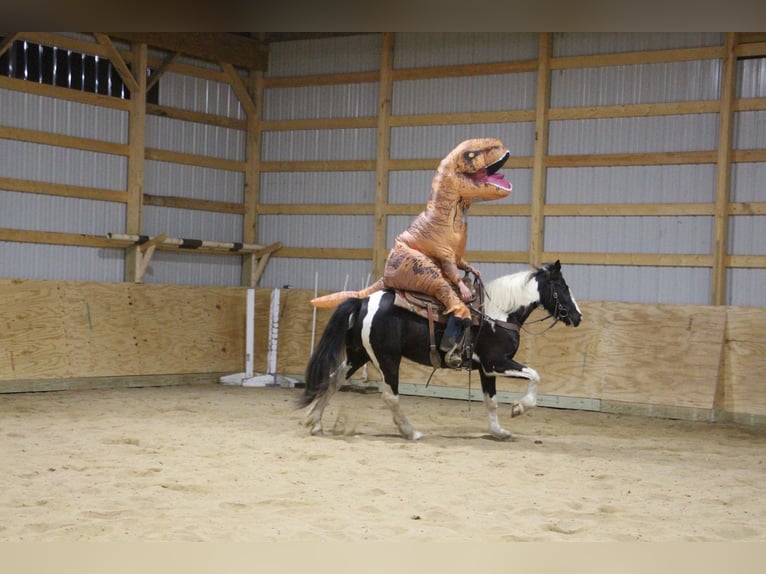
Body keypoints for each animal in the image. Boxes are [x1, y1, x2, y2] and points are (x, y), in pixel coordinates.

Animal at [300, 260, 584, 440]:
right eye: (562, 288)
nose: (578, 317)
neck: (499, 313)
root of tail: (362, 302)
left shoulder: (486, 370)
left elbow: (491, 401)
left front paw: (499, 432)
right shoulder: (496, 362)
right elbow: (535, 375)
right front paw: (519, 408)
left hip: (359, 354)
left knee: (333, 379)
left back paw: (314, 423)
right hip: (387, 359)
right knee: (390, 396)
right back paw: (410, 432)